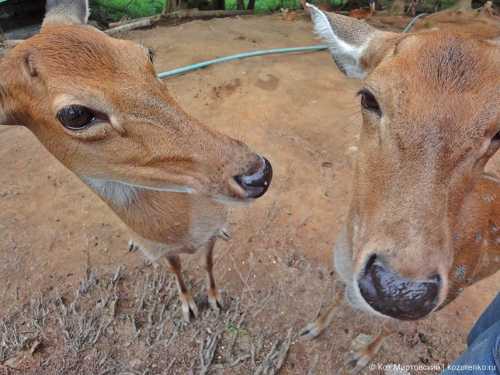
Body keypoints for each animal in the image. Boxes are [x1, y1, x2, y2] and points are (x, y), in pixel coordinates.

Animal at [0, 0, 274, 324]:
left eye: (147, 55)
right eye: (74, 114)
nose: (258, 174)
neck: (182, 231)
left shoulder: (210, 231)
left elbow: (208, 263)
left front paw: (215, 299)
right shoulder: (160, 250)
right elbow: (176, 269)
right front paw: (188, 307)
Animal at [300, 2, 500, 374]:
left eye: (499, 133)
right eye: (368, 97)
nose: (400, 290)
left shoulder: (451, 290)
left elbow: (391, 328)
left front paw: (362, 354)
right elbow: (334, 294)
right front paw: (312, 328)